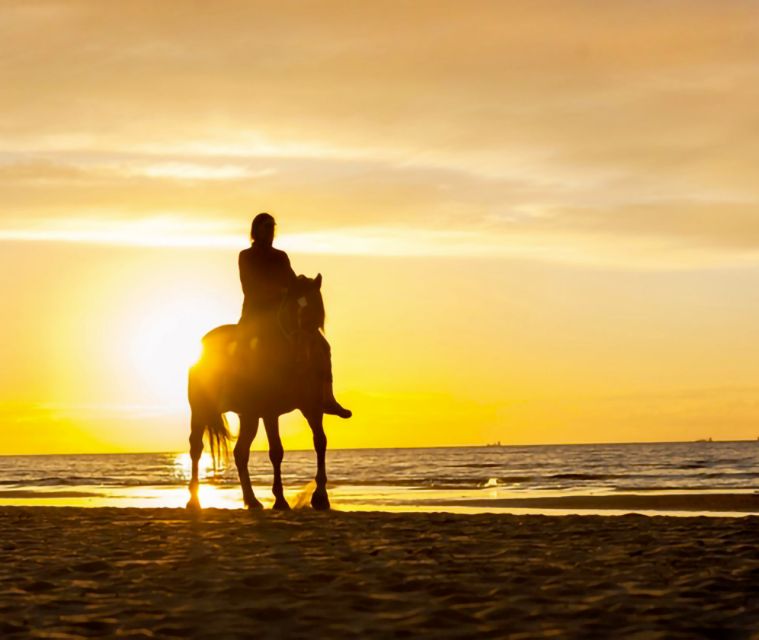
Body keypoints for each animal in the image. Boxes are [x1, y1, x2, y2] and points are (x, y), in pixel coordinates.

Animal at [186, 274, 332, 510]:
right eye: (290, 311)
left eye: (316, 314)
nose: (301, 356)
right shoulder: (270, 412)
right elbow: (276, 451)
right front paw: (280, 500)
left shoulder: (312, 407)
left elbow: (320, 442)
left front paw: (320, 496)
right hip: (200, 411)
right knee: (196, 449)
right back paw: (193, 500)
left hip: (248, 416)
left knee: (240, 453)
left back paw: (252, 500)